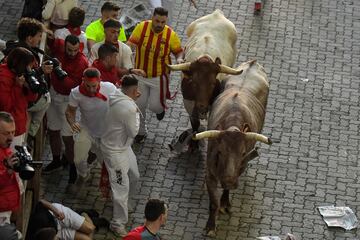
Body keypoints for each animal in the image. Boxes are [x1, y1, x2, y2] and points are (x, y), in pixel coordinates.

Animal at [193, 59, 272, 235]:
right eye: (220, 152)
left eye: (242, 153)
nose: (229, 181)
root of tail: (252, 63)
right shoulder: (209, 174)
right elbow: (213, 203)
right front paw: (210, 226)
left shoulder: (240, 167)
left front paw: (225, 203)